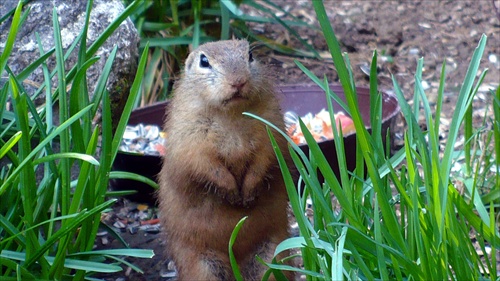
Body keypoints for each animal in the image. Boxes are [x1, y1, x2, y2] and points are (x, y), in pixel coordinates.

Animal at [158, 40, 292, 280]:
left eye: (250, 55)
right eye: (204, 61)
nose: (238, 81)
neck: (231, 115)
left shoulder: (270, 129)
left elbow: (264, 160)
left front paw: (248, 193)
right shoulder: (191, 140)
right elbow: (205, 166)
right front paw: (231, 192)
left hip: (272, 257)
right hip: (202, 266)